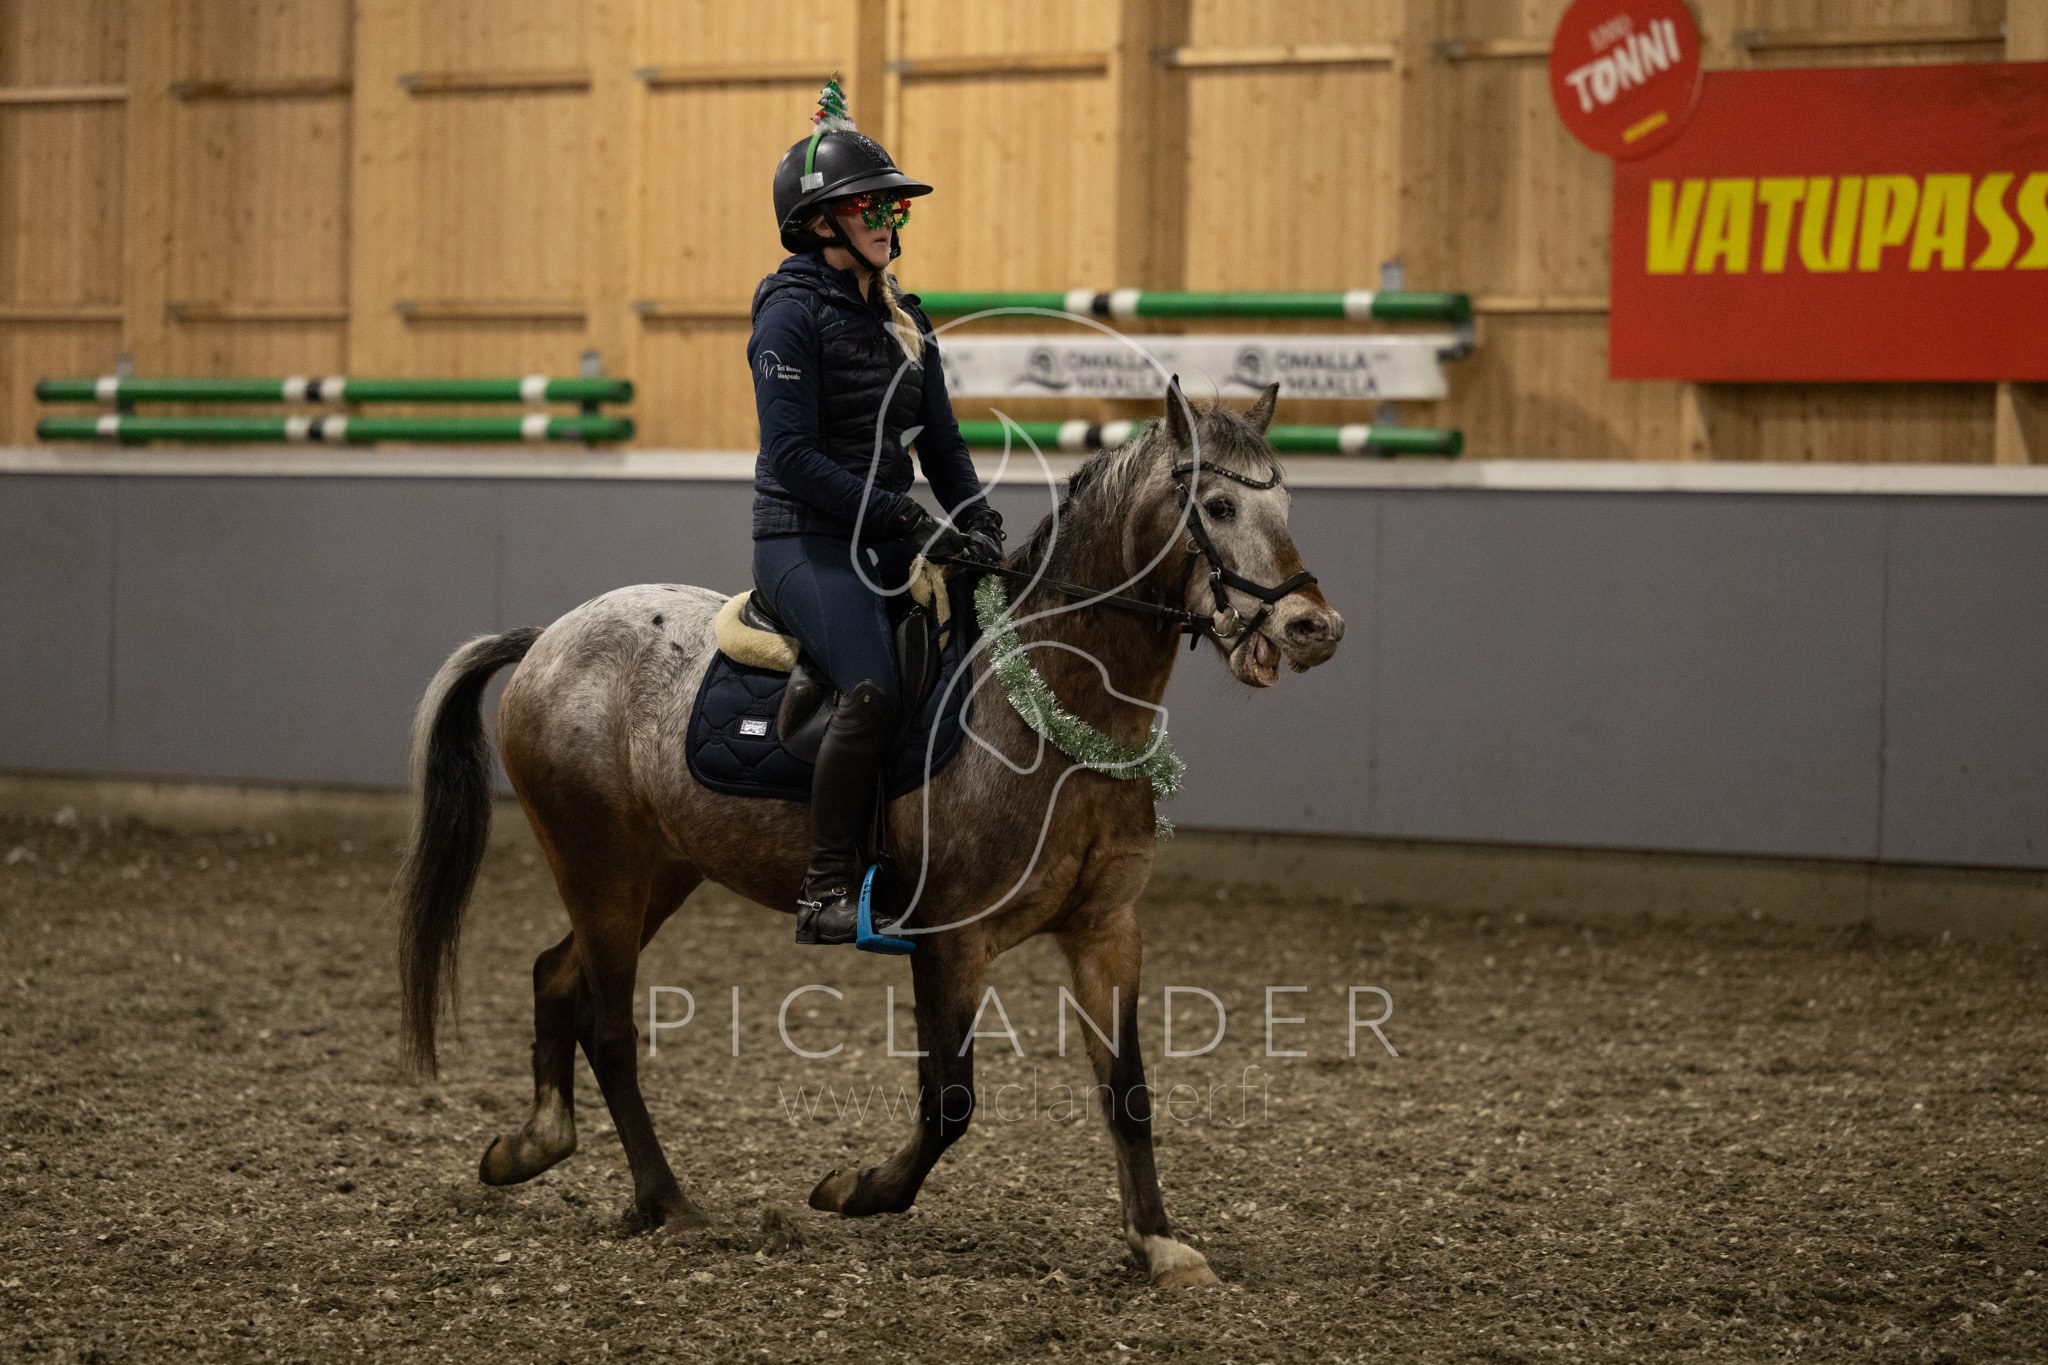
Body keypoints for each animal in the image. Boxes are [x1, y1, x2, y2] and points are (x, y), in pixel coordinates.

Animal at [394, 379, 1344, 1288]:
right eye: (1217, 506)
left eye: (1288, 504)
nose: (1313, 628)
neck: (1051, 700)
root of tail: (549, 639)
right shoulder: (950, 937)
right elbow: (950, 1100)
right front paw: (856, 1189)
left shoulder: (1106, 930)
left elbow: (1128, 1088)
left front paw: (1158, 1242)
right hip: (601, 865)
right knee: (612, 1026)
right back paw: (668, 1201)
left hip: (654, 871)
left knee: (557, 977)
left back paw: (531, 1145)